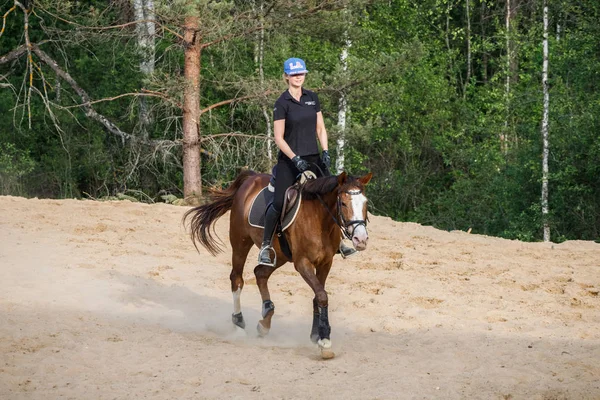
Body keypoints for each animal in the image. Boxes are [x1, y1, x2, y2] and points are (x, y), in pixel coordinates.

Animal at [183, 169, 370, 356]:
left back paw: (265, 321)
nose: (361, 239)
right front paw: (324, 341)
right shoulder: (302, 263)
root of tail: (251, 178)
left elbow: (318, 296)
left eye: (365, 203)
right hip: (240, 241)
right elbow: (322, 296)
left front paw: (316, 335)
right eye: (343, 203)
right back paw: (239, 323)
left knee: (260, 273)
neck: (319, 220)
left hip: (279, 255)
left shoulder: (325, 263)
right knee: (237, 278)